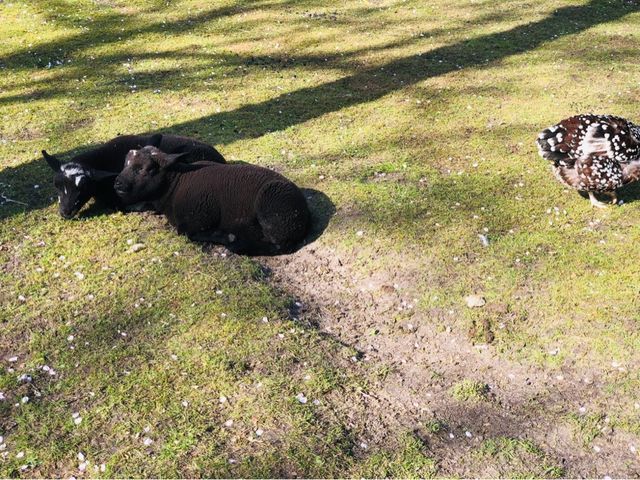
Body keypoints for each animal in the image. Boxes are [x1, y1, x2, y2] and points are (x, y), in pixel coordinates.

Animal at [114, 144, 310, 255]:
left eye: (146, 169)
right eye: (125, 163)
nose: (117, 184)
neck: (175, 184)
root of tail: (304, 213)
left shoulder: (197, 219)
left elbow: (190, 233)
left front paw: (225, 236)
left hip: (273, 212)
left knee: (278, 245)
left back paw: (238, 245)